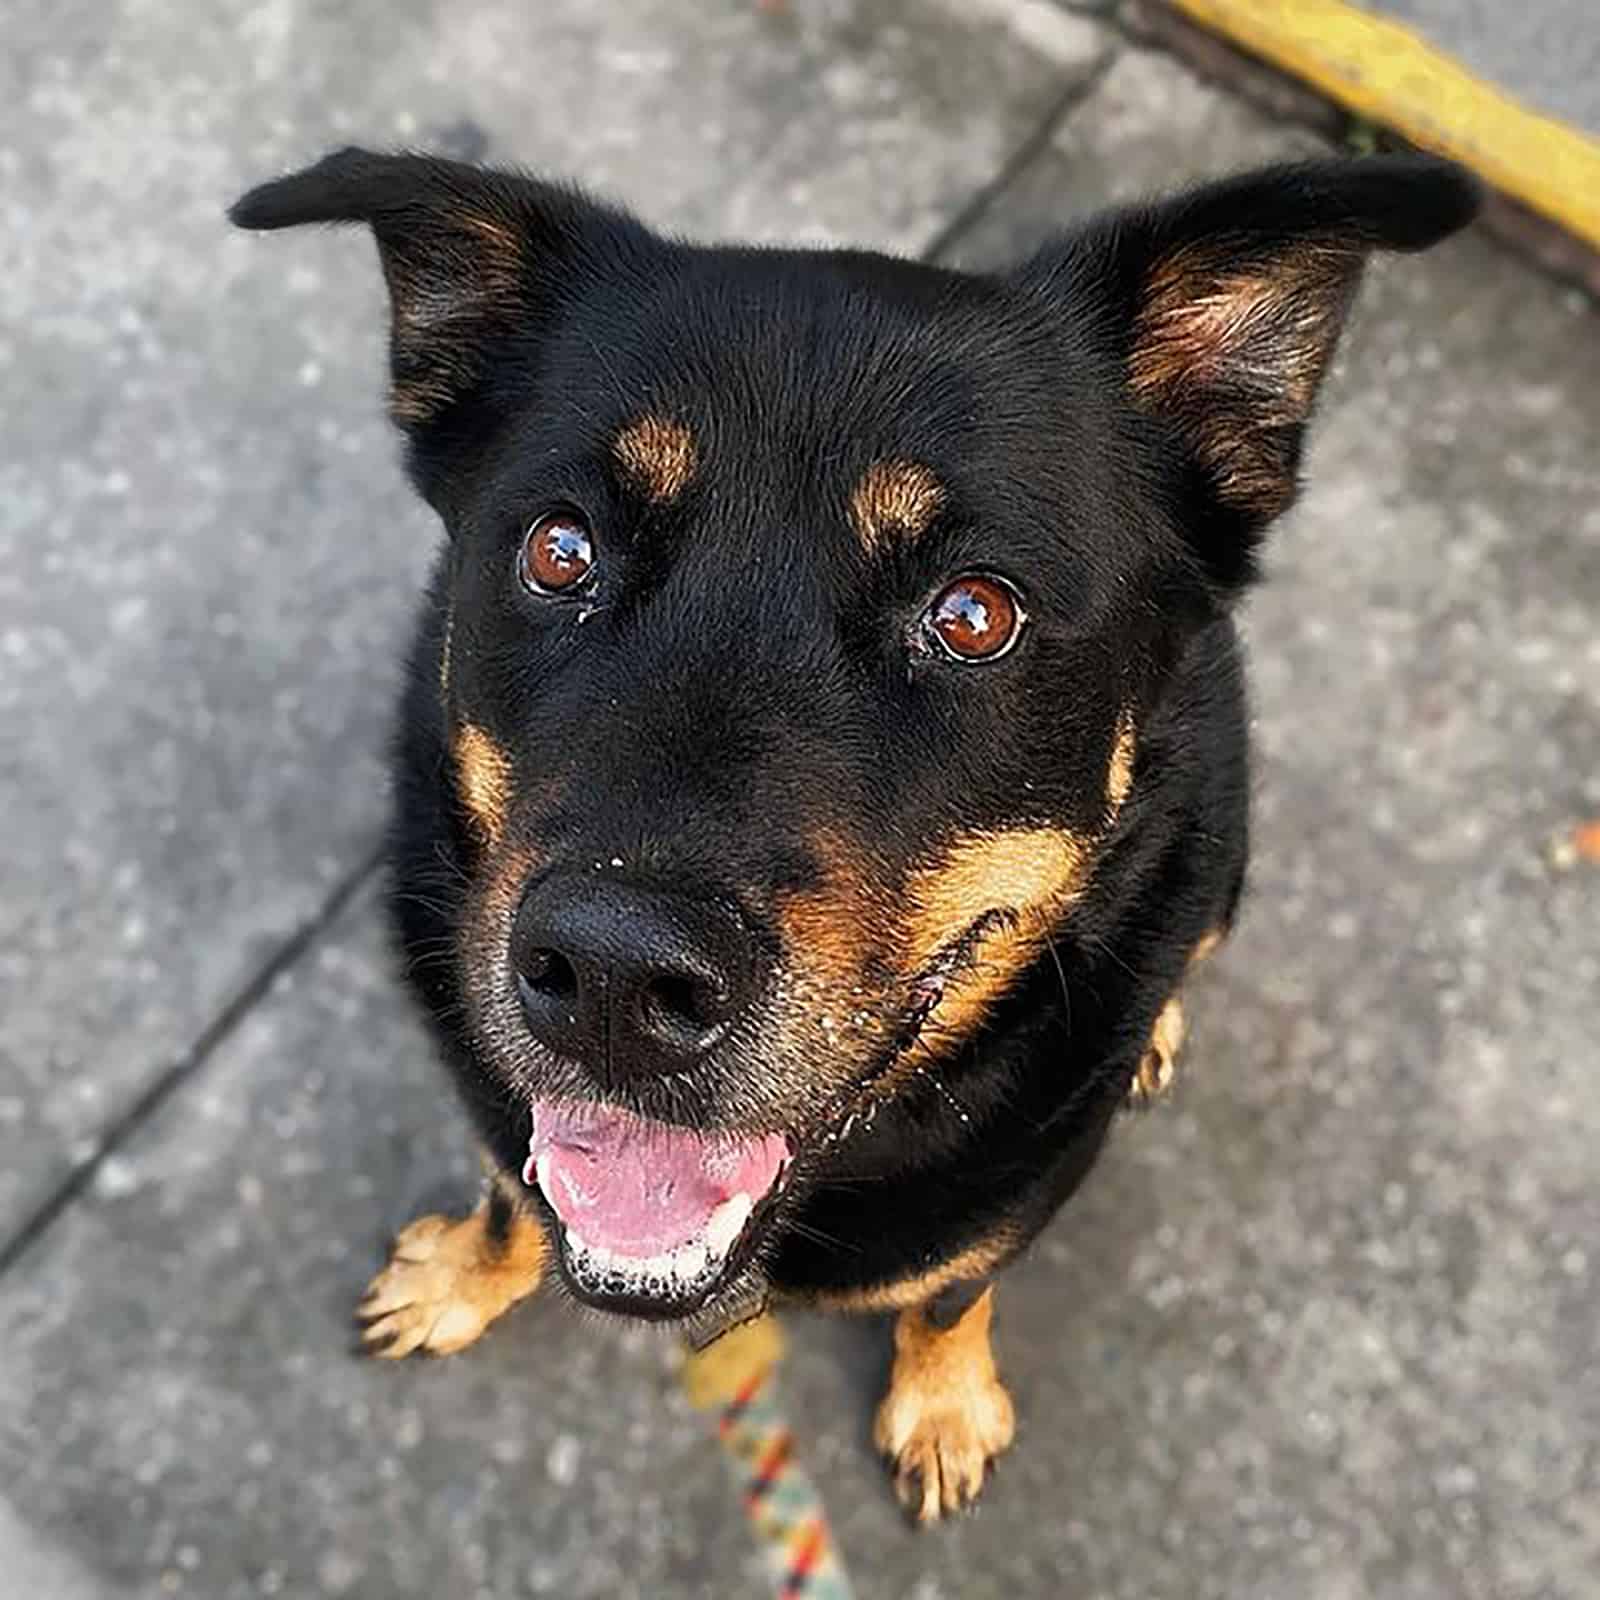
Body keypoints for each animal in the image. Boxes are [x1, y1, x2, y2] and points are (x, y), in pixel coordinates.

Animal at [225, 152, 1472, 1523]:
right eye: (558, 549)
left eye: (974, 613)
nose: (610, 976)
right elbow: (513, 1187)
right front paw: (461, 1273)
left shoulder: (1009, 1197)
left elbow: (952, 1289)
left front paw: (941, 1404)